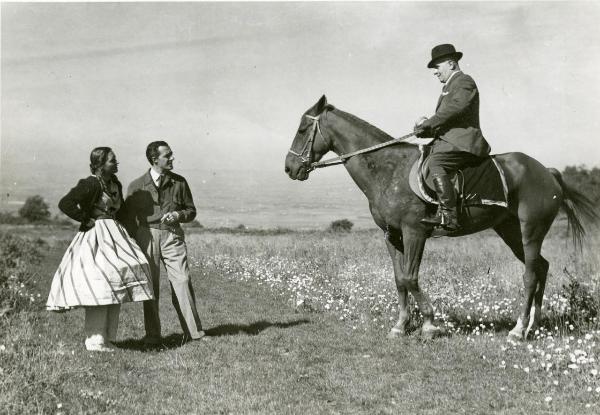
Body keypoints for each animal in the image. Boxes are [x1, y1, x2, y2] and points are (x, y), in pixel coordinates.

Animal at [284, 95, 596, 342]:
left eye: (302, 128)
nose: (289, 168)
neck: (388, 169)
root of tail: (546, 171)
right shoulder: (391, 235)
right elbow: (399, 279)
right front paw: (400, 326)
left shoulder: (414, 232)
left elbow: (410, 278)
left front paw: (429, 324)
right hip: (509, 230)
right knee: (542, 267)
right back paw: (534, 325)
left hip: (531, 230)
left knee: (530, 274)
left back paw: (518, 330)